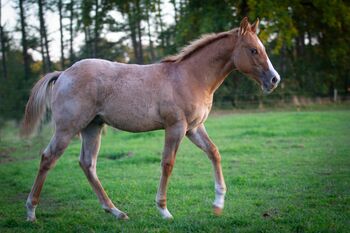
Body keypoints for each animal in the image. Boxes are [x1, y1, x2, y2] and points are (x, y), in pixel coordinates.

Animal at [21, 17, 280, 220]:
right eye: (253, 50)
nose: (274, 79)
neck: (190, 77)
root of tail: (64, 73)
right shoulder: (176, 127)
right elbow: (167, 163)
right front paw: (164, 210)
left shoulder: (194, 128)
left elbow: (214, 153)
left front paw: (218, 204)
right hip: (67, 128)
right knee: (48, 158)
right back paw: (31, 212)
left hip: (92, 127)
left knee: (88, 164)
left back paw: (115, 211)